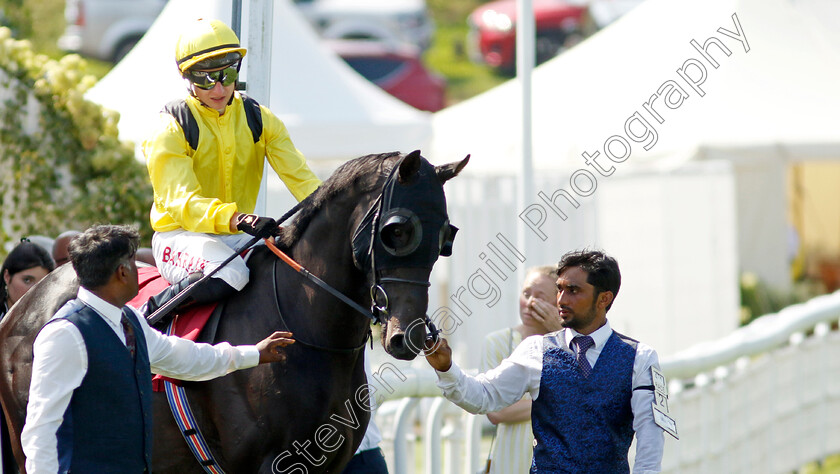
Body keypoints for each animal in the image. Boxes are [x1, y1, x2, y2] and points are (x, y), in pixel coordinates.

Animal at [0, 150, 470, 472]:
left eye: (447, 235)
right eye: (397, 231)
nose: (411, 335)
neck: (310, 332)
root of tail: (22, 308)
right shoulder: (270, 463)